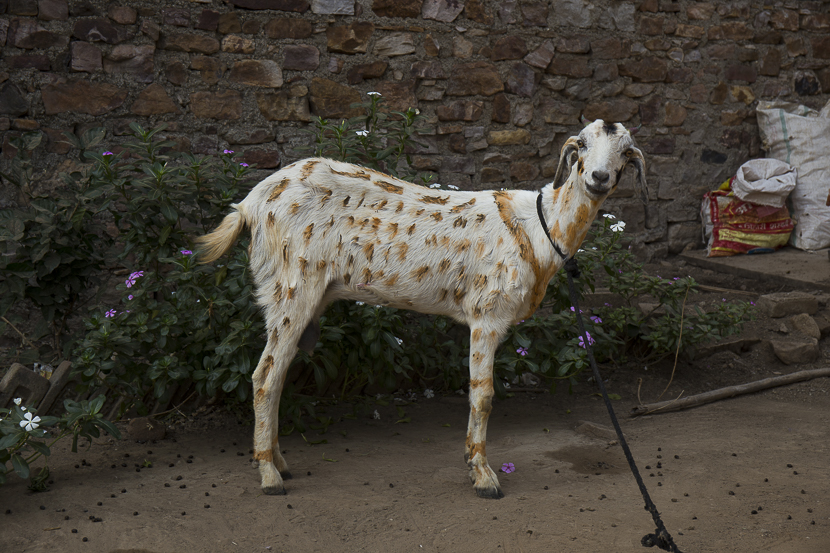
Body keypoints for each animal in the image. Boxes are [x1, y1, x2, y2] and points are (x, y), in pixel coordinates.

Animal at [197, 118, 648, 498]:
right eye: (582, 145)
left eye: (626, 152)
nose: (598, 178)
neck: (541, 229)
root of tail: (250, 204)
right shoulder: (487, 313)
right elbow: (483, 395)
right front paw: (483, 476)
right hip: (291, 284)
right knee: (264, 376)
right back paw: (269, 476)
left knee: (276, 375)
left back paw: (279, 463)